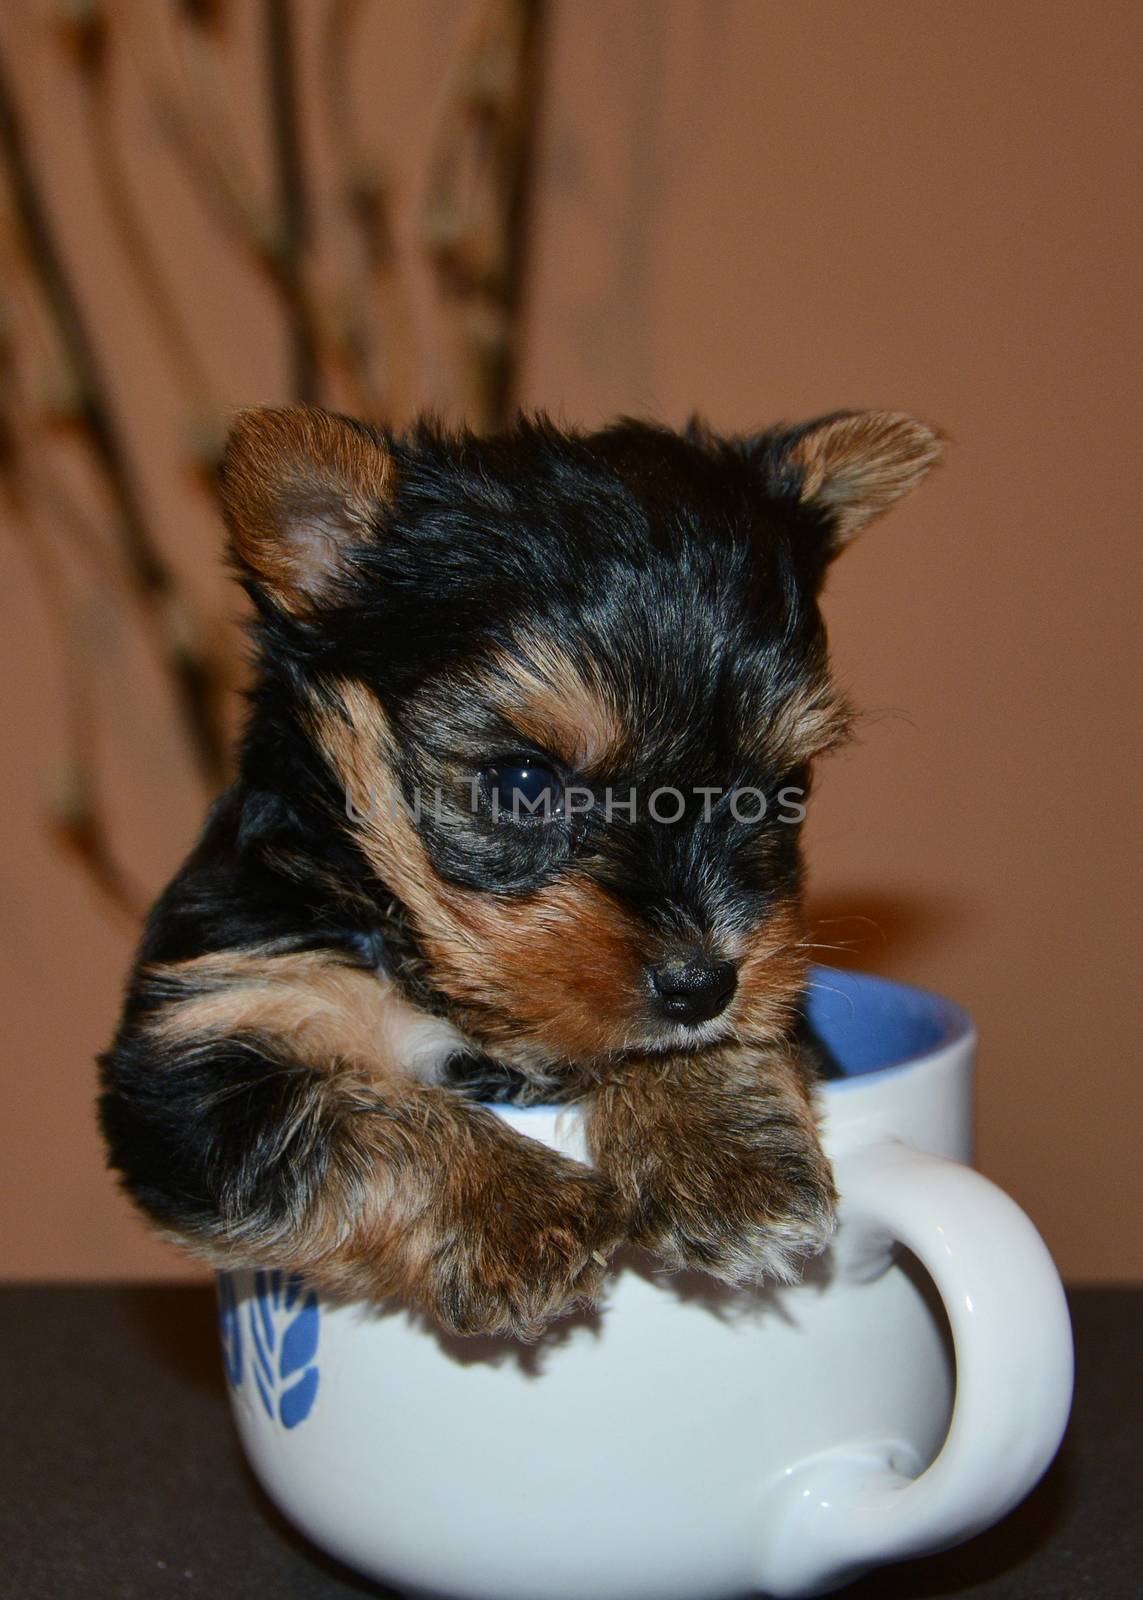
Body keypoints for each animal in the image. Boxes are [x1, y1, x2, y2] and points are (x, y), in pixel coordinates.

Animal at [95, 403, 934, 1337]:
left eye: (787, 788)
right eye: (522, 782)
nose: (703, 983)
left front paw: (721, 1150)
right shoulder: (206, 1031)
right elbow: (341, 1115)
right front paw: (516, 1210)